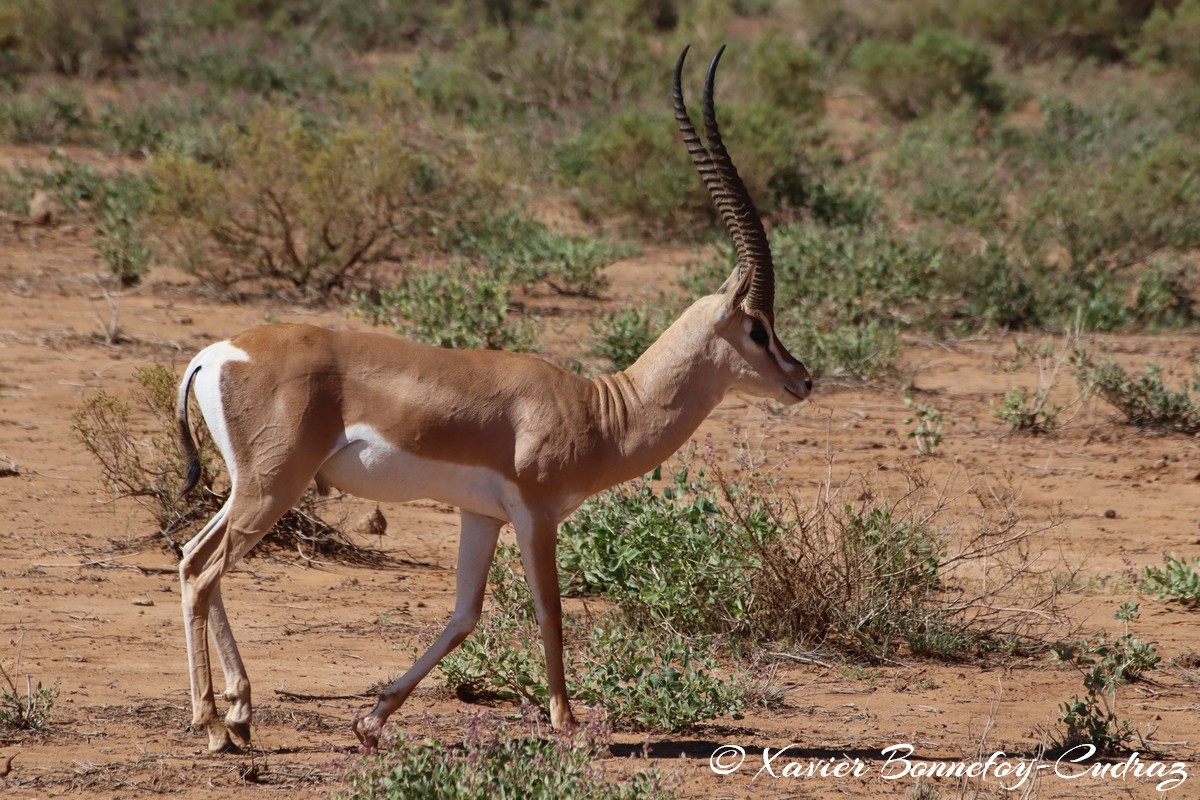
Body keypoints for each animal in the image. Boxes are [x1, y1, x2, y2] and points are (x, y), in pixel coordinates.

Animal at [174, 45, 811, 753]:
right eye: (757, 328)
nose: (802, 379)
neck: (599, 409)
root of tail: (217, 354)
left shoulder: (481, 517)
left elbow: (465, 614)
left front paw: (371, 719)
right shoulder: (535, 513)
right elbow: (550, 609)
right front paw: (568, 724)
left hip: (251, 489)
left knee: (193, 558)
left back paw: (239, 715)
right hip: (272, 487)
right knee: (203, 569)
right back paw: (213, 725)